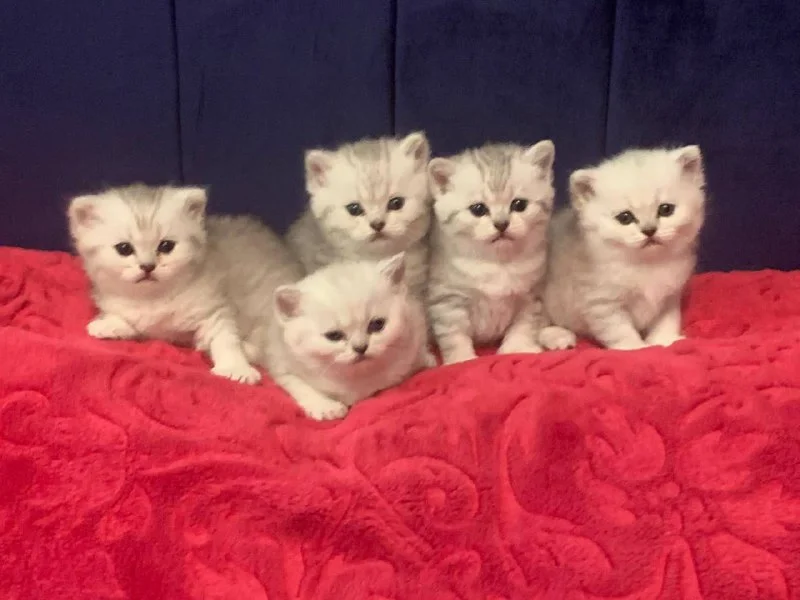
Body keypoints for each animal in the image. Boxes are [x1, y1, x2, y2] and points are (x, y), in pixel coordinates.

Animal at [68, 184, 302, 383]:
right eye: (124, 248)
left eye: (166, 246)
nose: (147, 266)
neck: (153, 298)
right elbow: (131, 322)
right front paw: (107, 324)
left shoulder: (214, 311)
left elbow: (226, 340)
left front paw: (236, 368)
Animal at [265, 252, 434, 420]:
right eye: (334, 335)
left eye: (377, 324)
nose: (361, 347)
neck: (359, 379)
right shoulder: (281, 366)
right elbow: (299, 385)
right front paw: (327, 407)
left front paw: (427, 360)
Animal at [426, 140, 563, 364]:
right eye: (478, 209)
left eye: (519, 204)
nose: (501, 224)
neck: (498, 263)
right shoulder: (447, 300)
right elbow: (454, 335)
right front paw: (461, 358)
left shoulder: (531, 295)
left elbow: (524, 325)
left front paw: (517, 348)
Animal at [542, 145, 706, 351]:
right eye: (625, 217)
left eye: (666, 209)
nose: (649, 230)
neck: (647, 265)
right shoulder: (603, 304)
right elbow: (620, 331)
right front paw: (636, 348)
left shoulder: (670, 296)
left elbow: (666, 321)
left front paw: (665, 340)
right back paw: (558, 337)